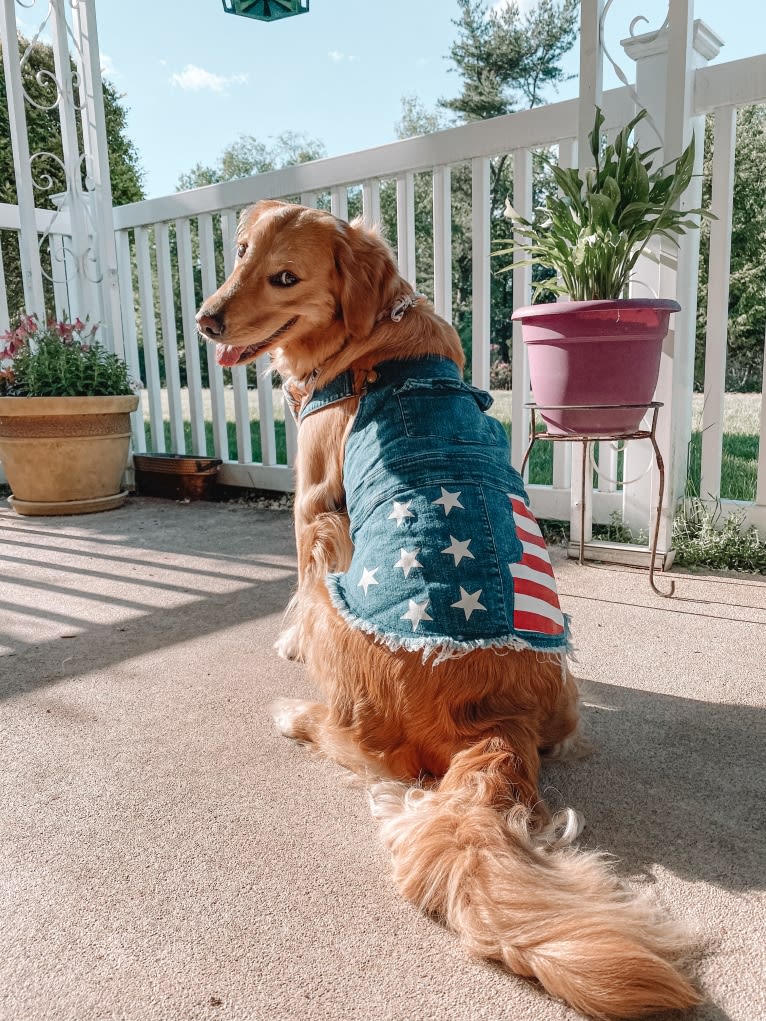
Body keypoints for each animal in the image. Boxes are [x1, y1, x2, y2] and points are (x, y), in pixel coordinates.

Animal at [198, 201, 702, 1021]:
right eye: (240, 252)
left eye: (285, 277)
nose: (206, 320)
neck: (372, 339)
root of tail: (492, 719)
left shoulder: (312, 502)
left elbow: (295, 592)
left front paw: (287, 645)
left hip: (344, 581)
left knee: (350, 735)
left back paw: (298, 714)